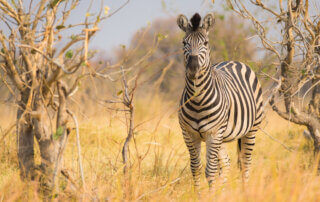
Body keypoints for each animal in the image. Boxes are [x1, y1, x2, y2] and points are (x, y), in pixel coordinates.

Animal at [176, 13, 264, 189]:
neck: (198, 100)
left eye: (205, 43)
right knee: (226, 163)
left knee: (245, 163)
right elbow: (196, 168)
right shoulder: (189, 134)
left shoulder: (213, 133)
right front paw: (200, 194)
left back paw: (245, 191)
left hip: (251, 129)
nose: (193, 68)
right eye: (184, 43)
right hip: (222, 137)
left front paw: (211, 193)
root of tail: (235, 61)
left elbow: (210, 171)